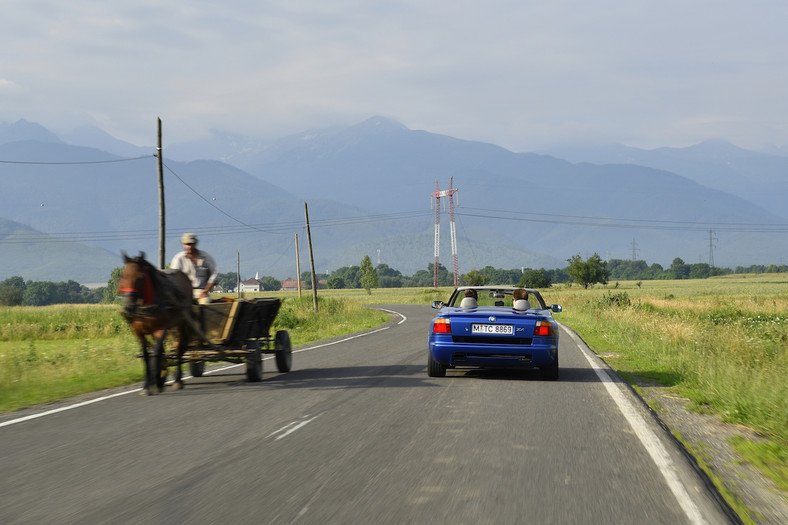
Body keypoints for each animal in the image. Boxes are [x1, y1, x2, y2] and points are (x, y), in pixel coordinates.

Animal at [118, 252, 195, 396]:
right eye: (123, 275)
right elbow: (147, 355)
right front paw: (147, 385)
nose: (128, 308)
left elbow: (157, 352)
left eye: (140, 277)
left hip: (181, 323)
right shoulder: (139, 332)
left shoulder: (161, 329)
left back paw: (178, 380)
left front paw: (154, 383)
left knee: (178, 349)